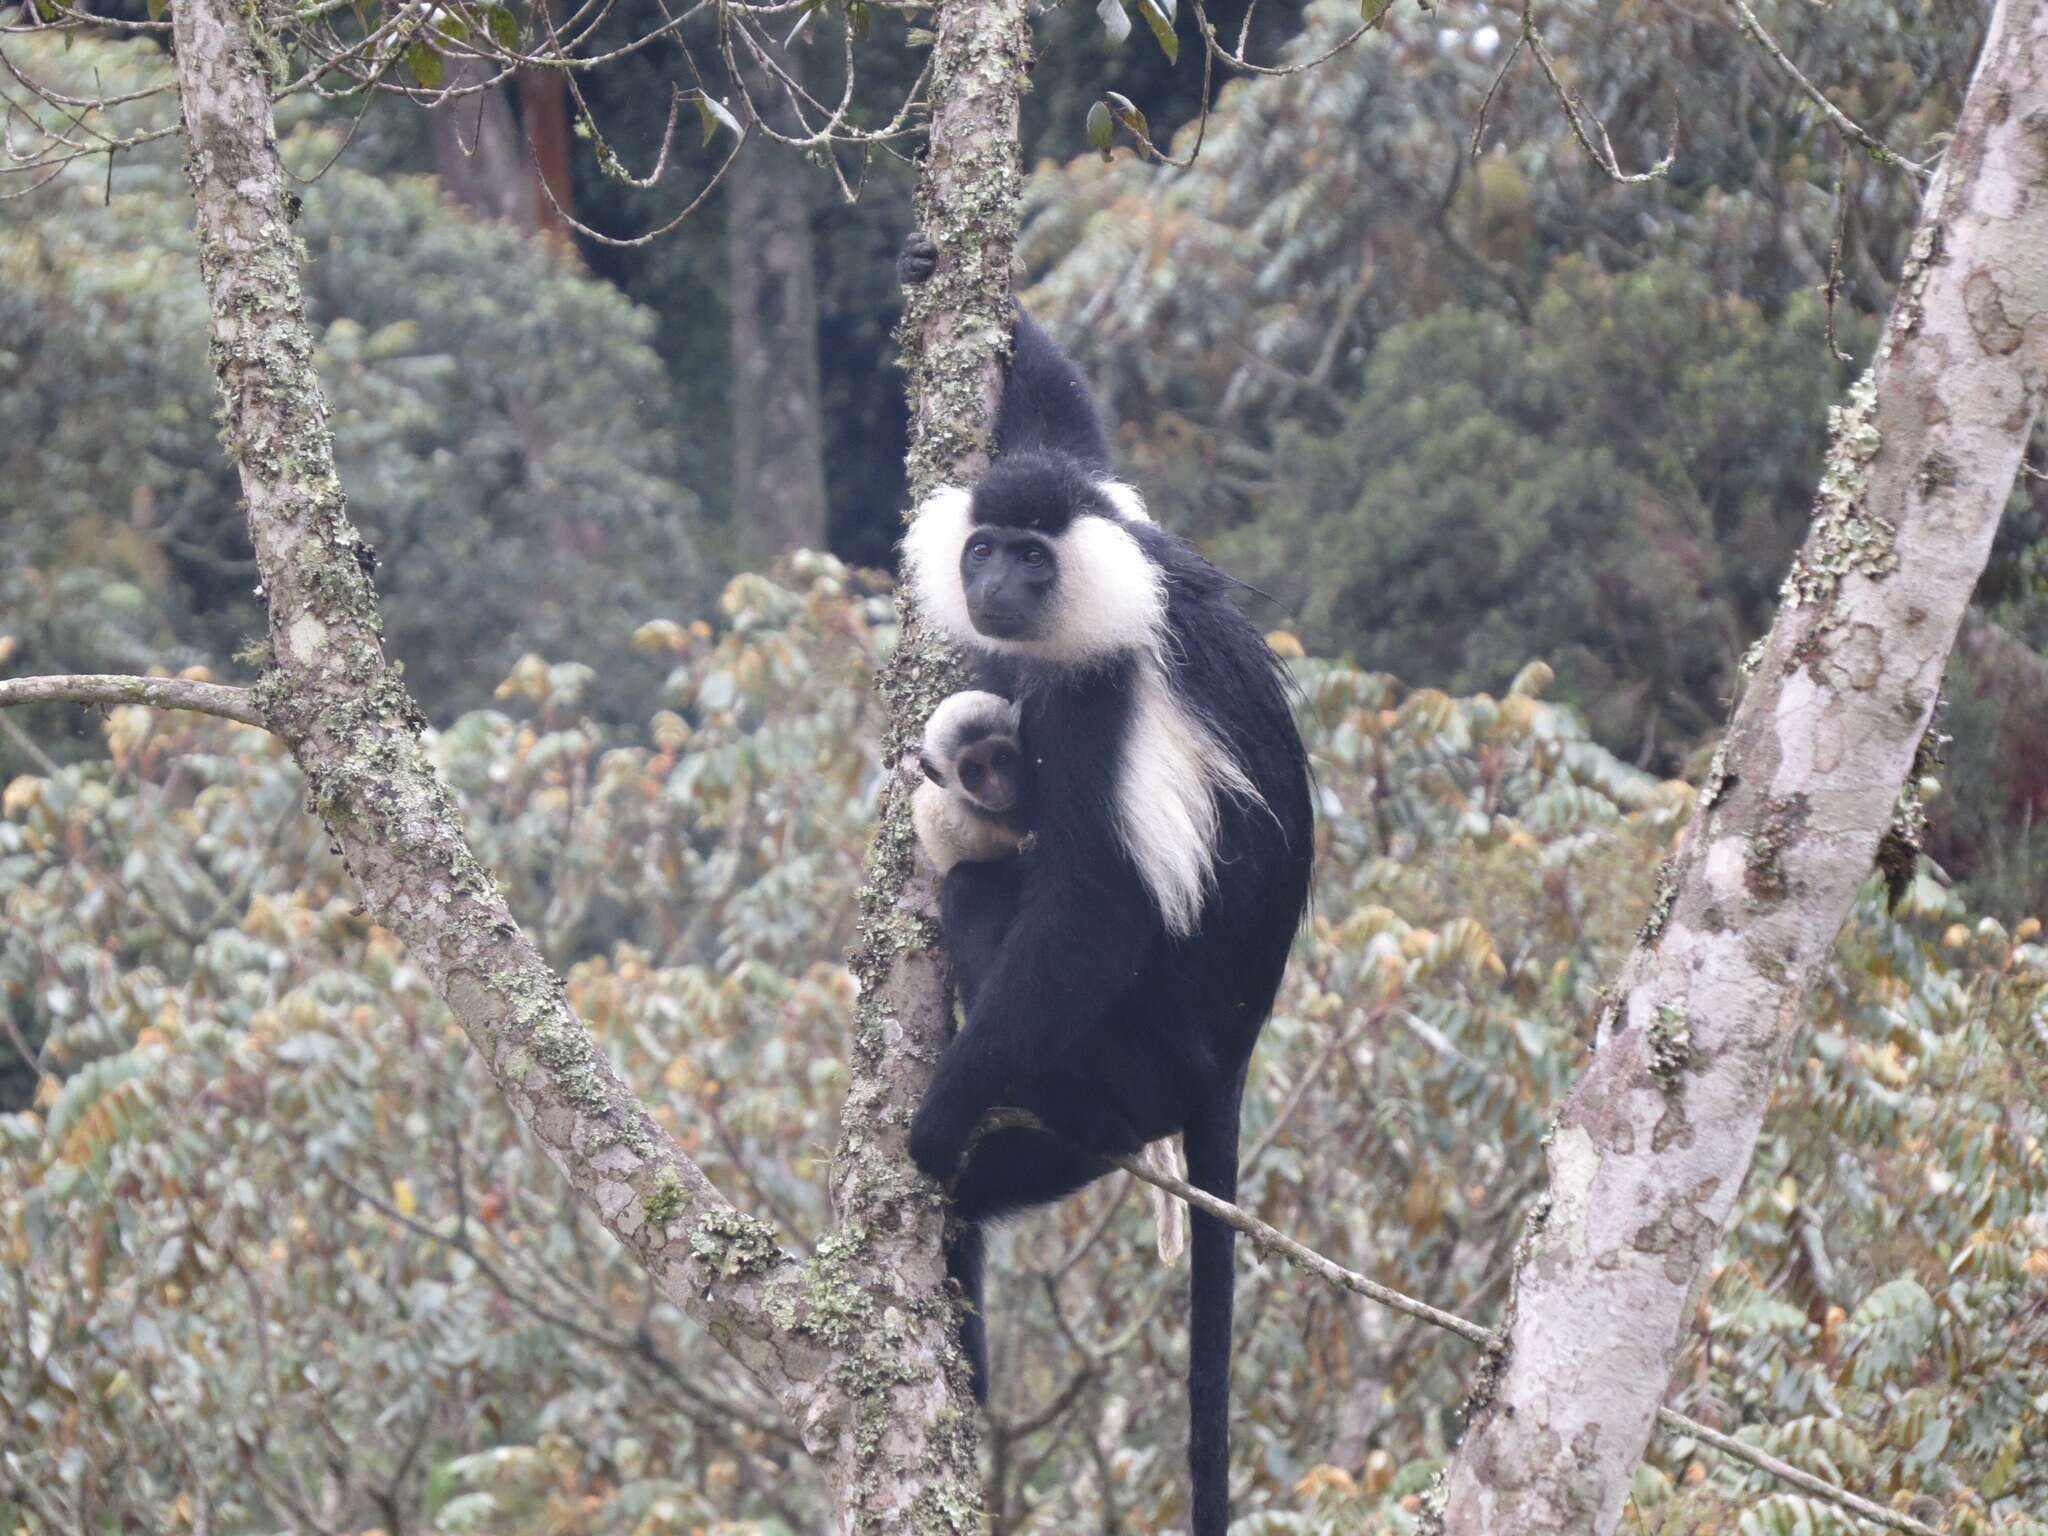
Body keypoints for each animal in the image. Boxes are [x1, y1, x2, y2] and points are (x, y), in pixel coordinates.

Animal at [897, 231, 1310, 1536]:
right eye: (985, 548)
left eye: (1033, 561)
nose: (994, 586)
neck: (1124, 596)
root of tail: (1228, 1058)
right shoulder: (1120, 515)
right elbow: (1071, 438)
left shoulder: (1100, 702)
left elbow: (1093, 918)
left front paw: (933, 1120)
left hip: (1120, 1075)